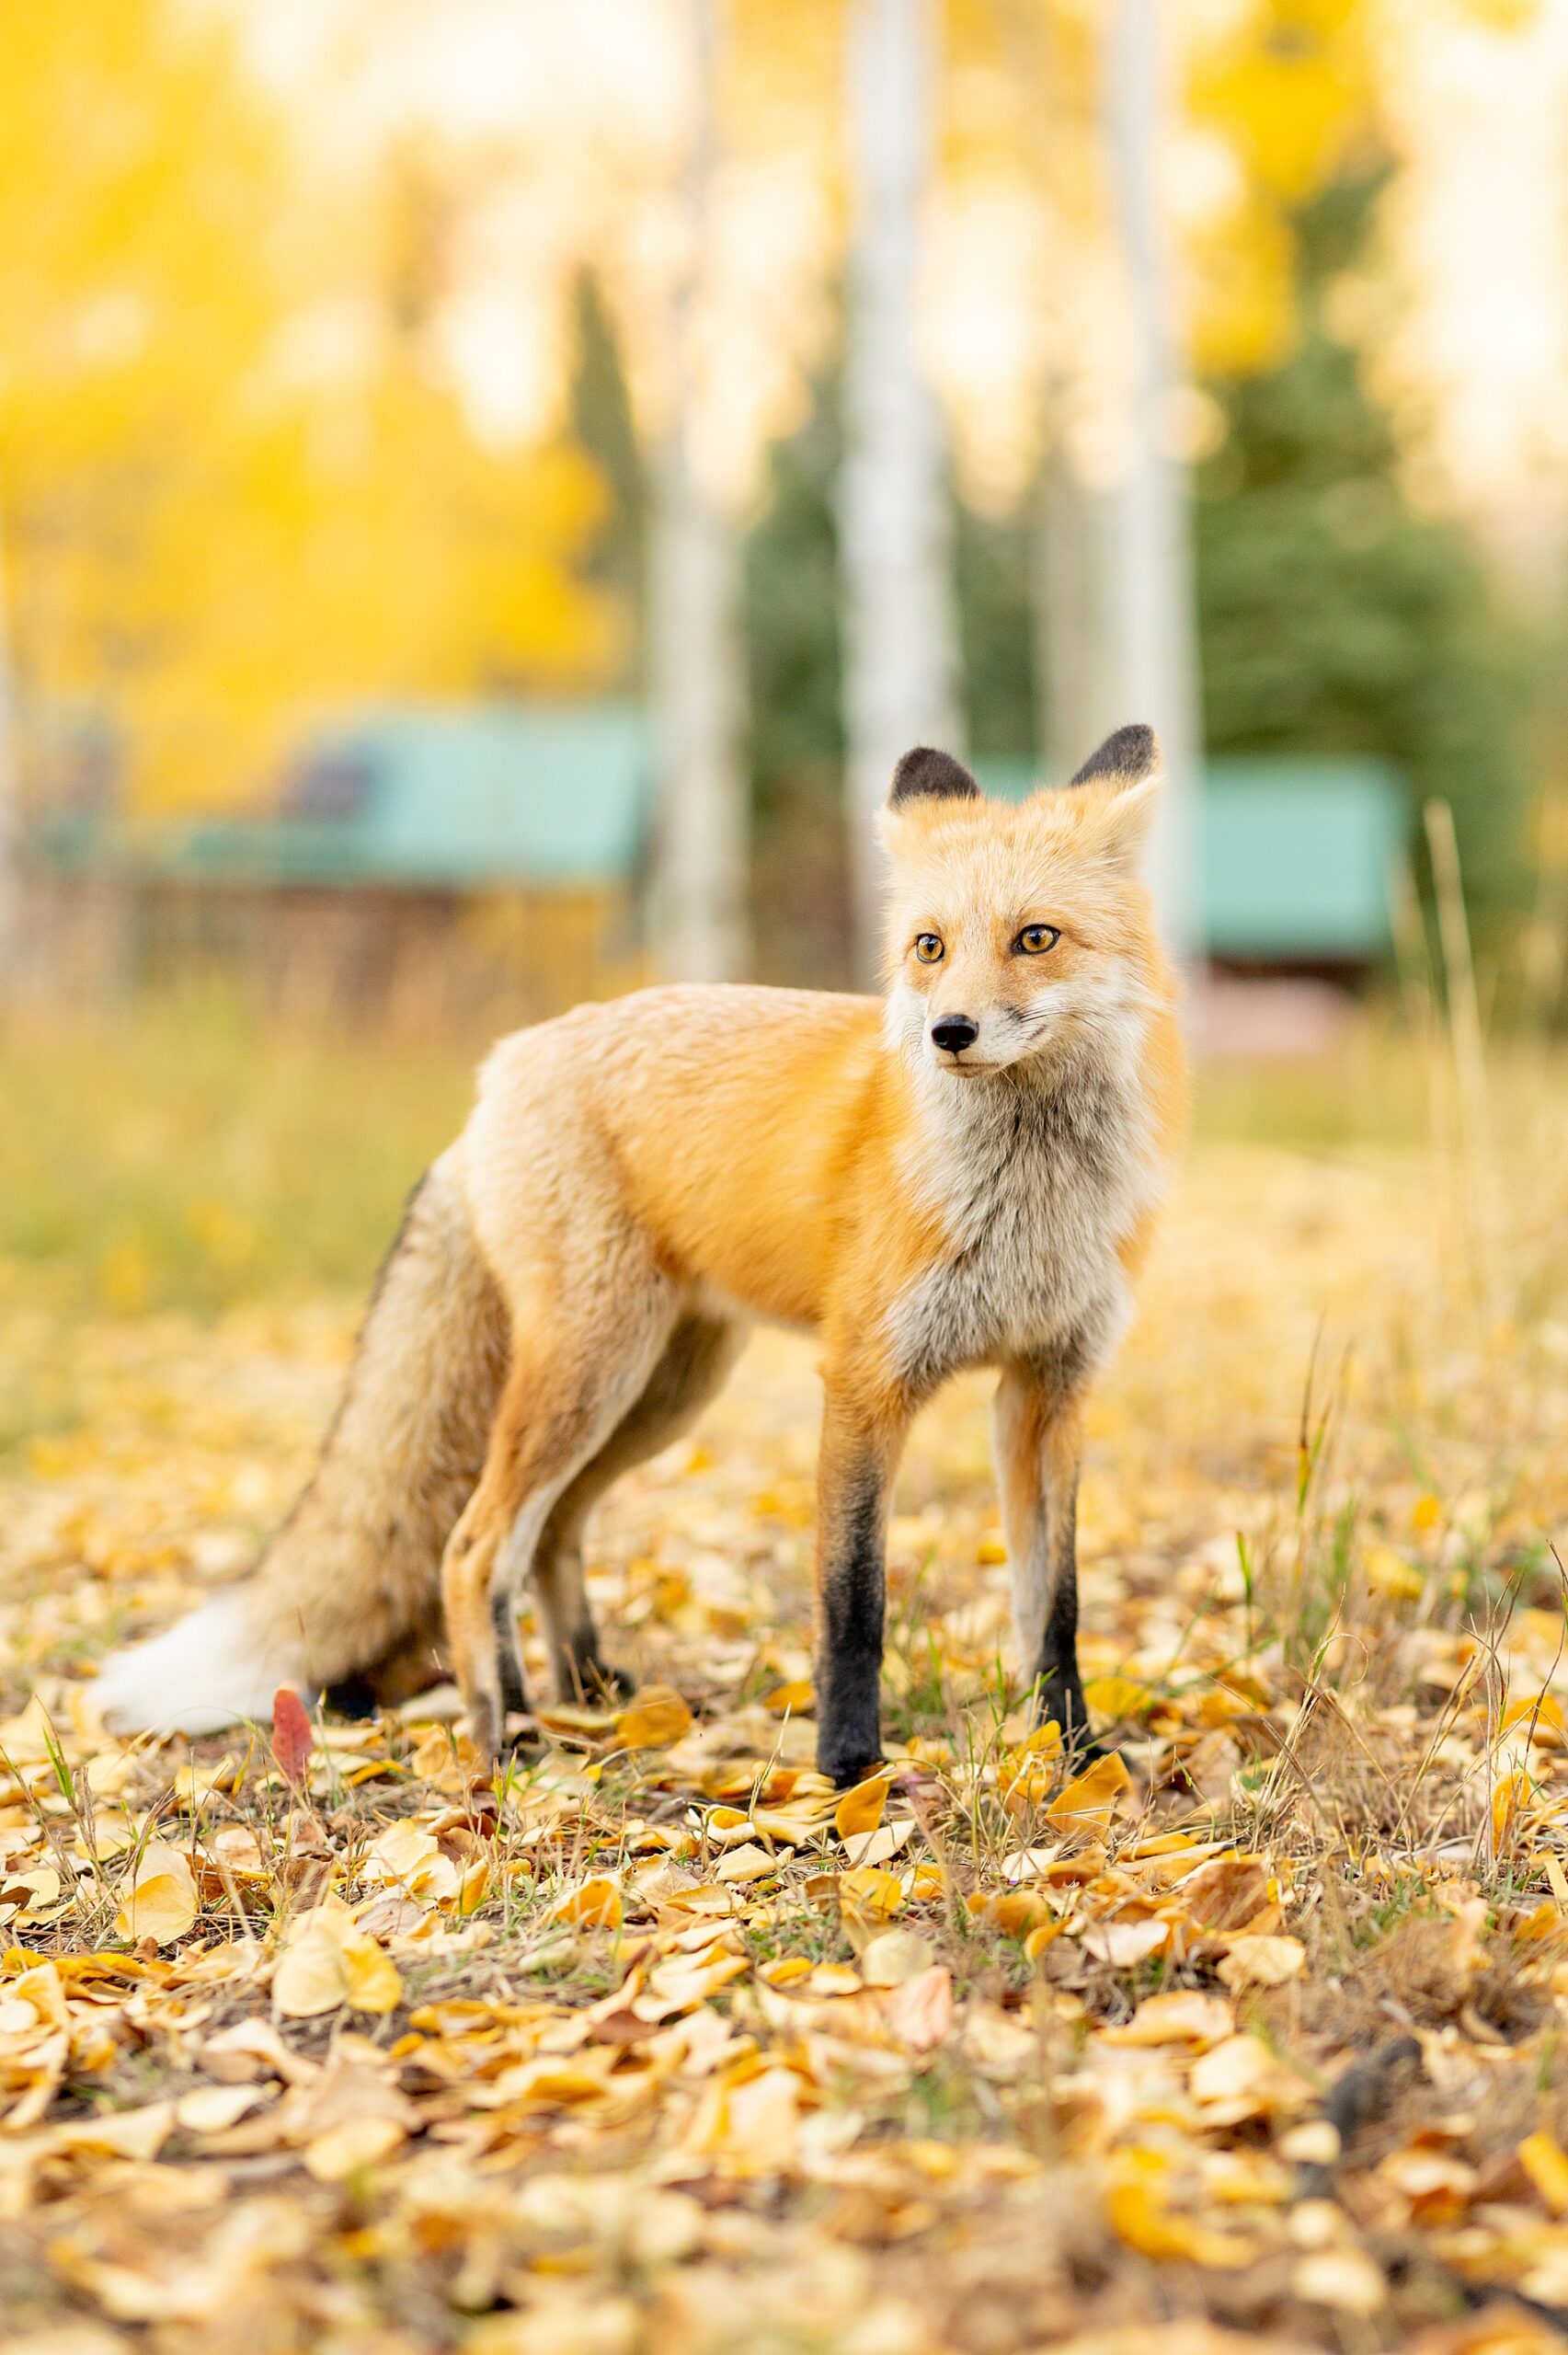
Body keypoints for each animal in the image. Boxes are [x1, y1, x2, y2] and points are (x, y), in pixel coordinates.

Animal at [94, 725, 1185, 1784]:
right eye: (930, 947)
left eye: (1034, 938)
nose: (946, 1032)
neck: (1029, 1202)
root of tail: (498, 1074)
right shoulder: (865, 1380)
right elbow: (853, 1601)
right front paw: (848, 1770)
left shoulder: (1047, 1390)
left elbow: (1054, 1606)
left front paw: (1072, 1754)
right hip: (592, 1372)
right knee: (473, 1546)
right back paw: (506, 1731)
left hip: (660, 1390)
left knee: (550, 1534)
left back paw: (584, 1689)